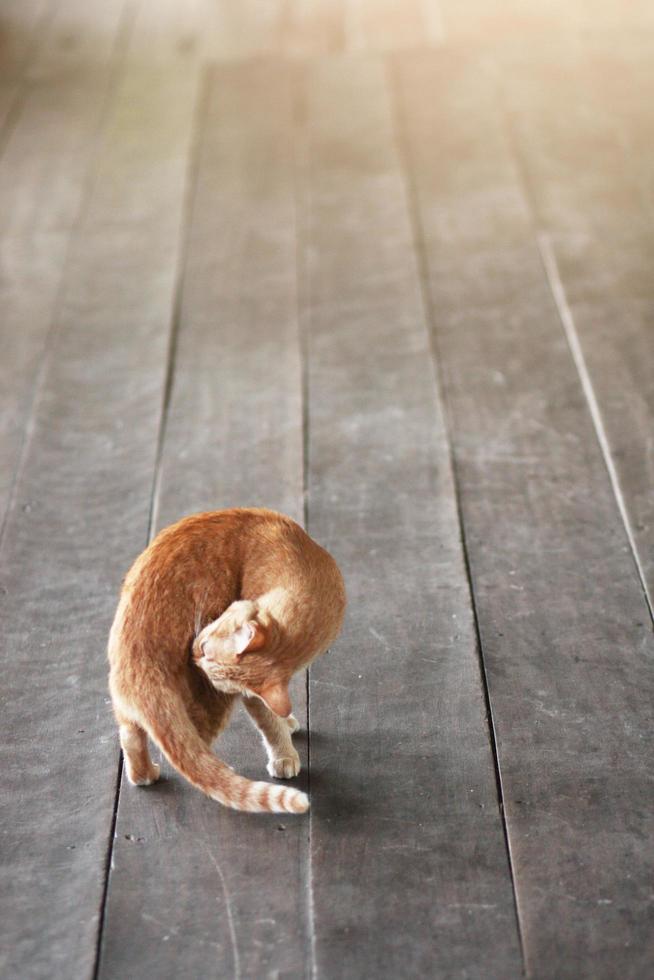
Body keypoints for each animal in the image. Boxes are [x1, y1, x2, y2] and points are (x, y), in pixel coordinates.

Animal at [106, 510, 348, 816]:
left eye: (205, 650)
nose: (193, 654)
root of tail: (141, 665)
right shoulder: (249, 697)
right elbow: (270, 723)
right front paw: (284, 755)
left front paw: (287, 721)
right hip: (212, 709)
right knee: (197, 754)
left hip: (127, 711)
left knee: (131, 739)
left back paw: (146, 774)